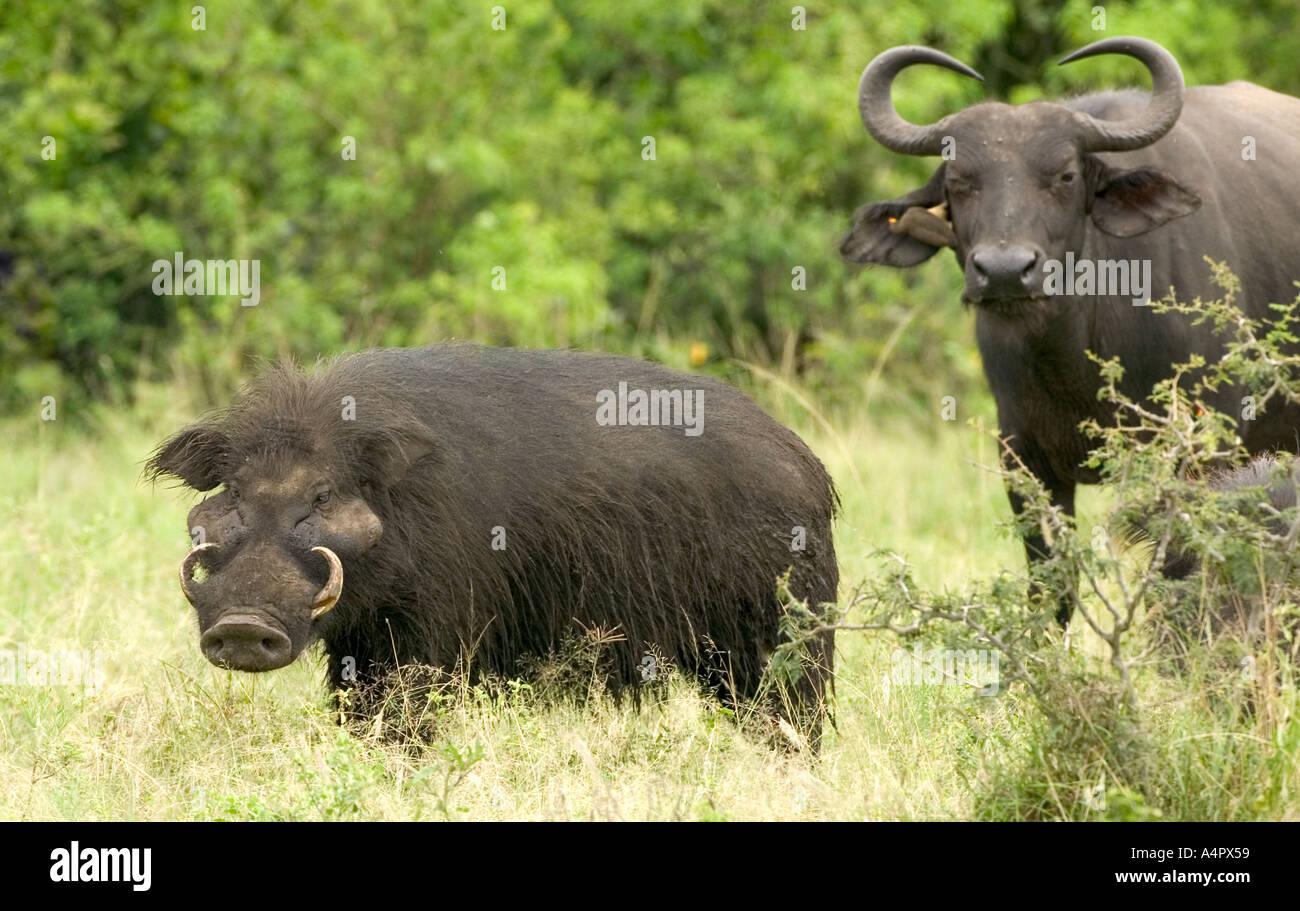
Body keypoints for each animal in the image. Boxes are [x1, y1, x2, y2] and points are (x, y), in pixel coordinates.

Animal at [144, 345, 832, 743]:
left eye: (322, 494)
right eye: (234, 490)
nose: (241, 624)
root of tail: (807, 466)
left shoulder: (429, 638)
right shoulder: (359, 646)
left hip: (785, 640)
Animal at [837, 35, 1300, 618]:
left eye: (1064, 176)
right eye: (960, 182)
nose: (1005, 270)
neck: (1076, 355)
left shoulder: (1204, 448)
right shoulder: (1024, 459)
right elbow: (1051, 588)